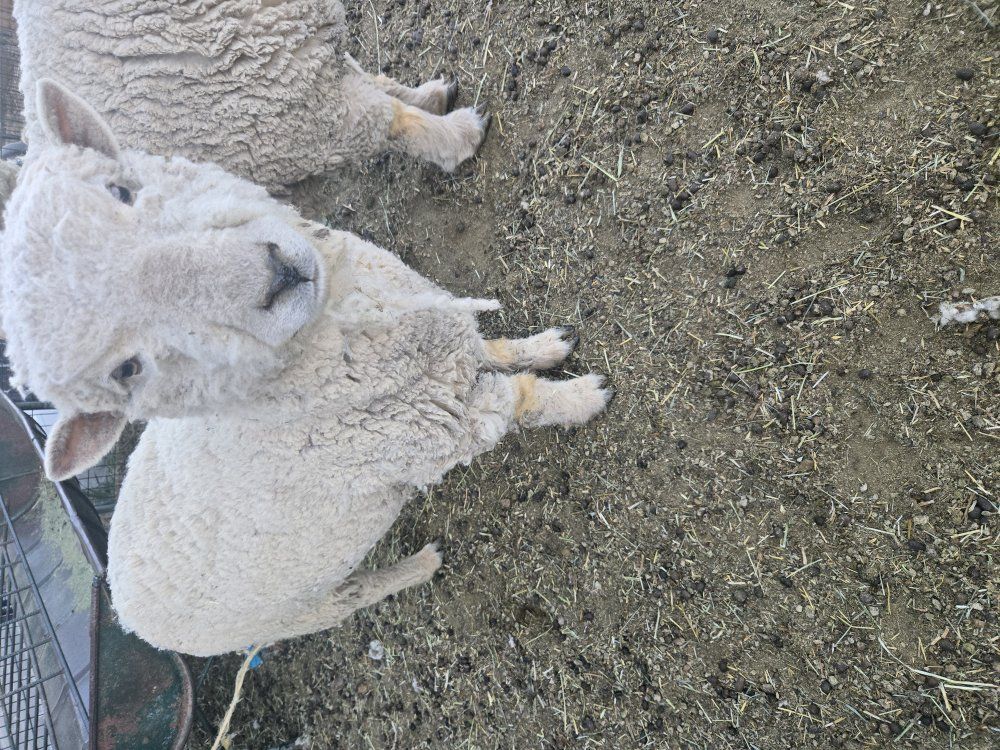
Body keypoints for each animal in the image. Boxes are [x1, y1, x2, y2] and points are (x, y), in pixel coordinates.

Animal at [0, 81, 612, 656]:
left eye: (121, 189)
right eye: (127, 369)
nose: (273, 274)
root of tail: (123, 607)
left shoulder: (444, 349)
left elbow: (494, 350)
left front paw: (546, 346)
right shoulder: (441, 428)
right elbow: (525, 398)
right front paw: (583, 397)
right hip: (298, 610)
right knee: (354, 595)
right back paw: (421, 565)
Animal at [13, 0, 490, 189]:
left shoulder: (305, 62)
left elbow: (382, 88)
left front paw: (432, 96)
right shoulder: (295, 120)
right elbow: (393, 120)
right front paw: (460, 136)